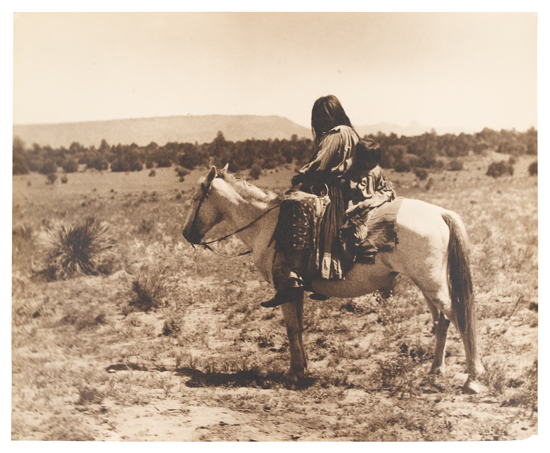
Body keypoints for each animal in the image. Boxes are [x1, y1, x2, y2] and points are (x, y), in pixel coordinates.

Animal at [183, 166, 486, 392]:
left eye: (197, 198)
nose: (187, 233)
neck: (268, 225)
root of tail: (440, 213)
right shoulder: (296, 290)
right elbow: (299, 328)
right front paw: (303, 368)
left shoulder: (285, 288)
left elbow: (291, 328)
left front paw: (294, 373)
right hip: (427, 285)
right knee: (442, 321)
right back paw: (435, 372)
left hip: (432, 284)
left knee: (459, 317)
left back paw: (471, 379)